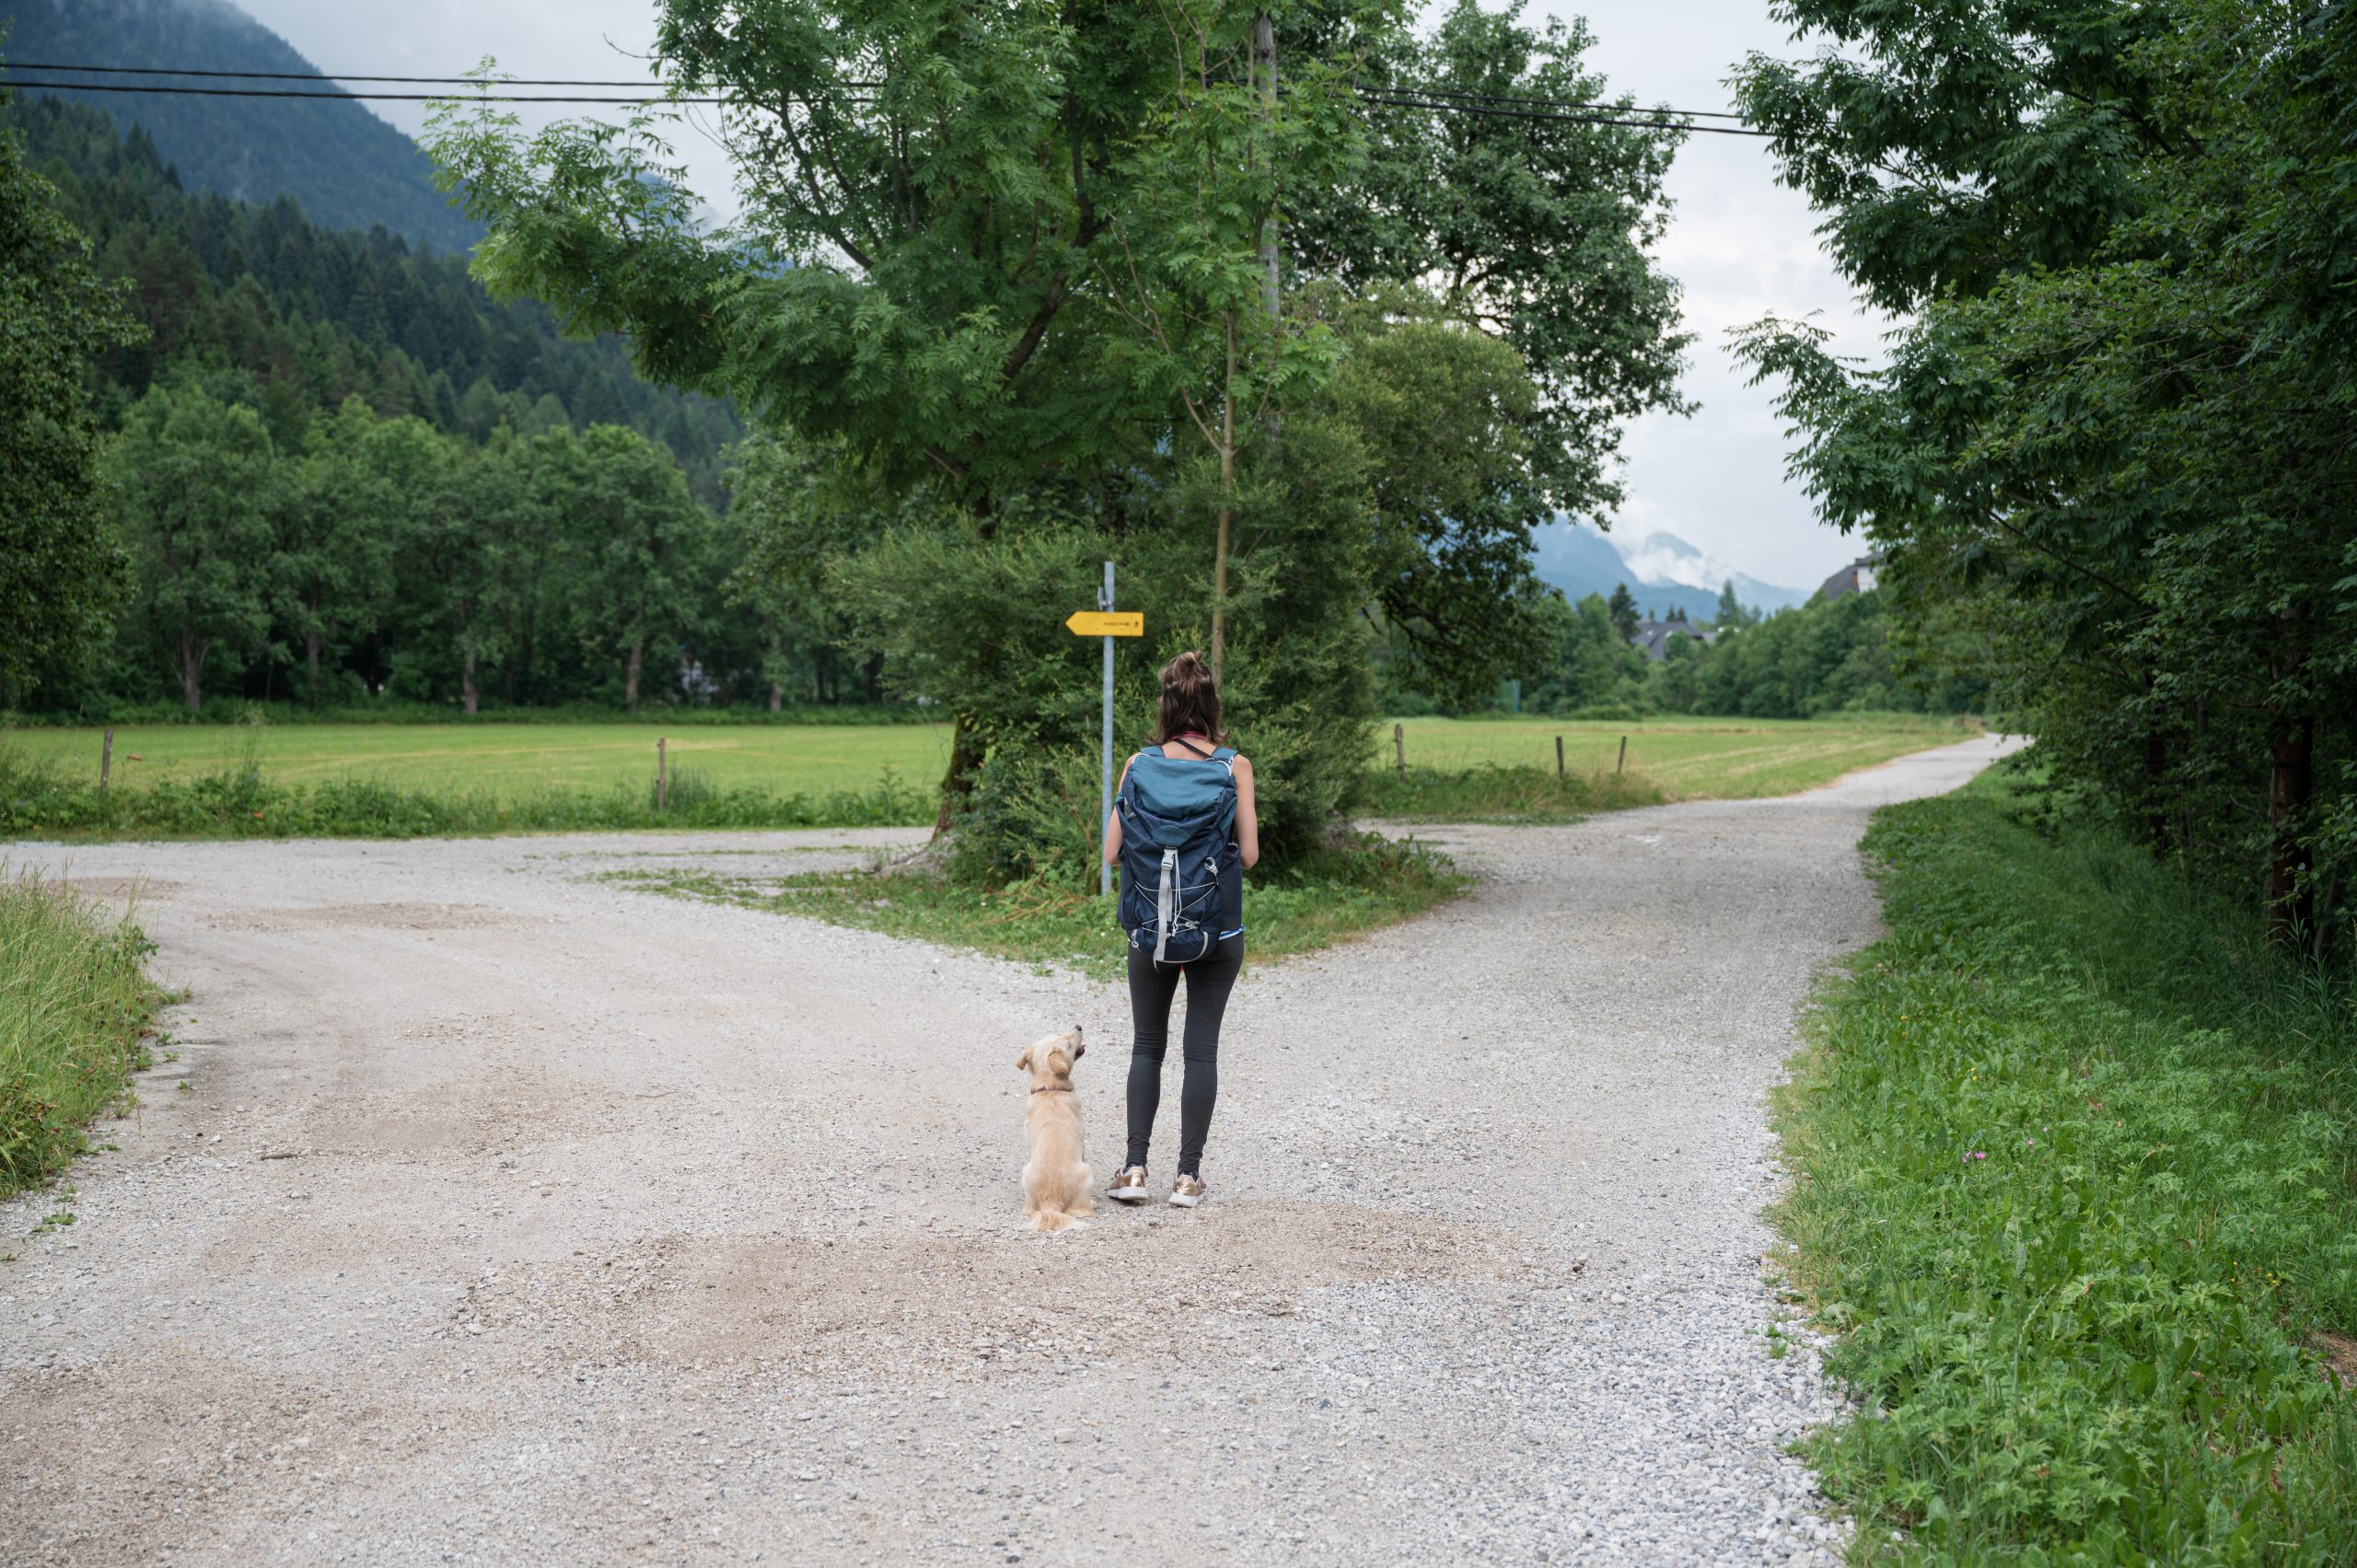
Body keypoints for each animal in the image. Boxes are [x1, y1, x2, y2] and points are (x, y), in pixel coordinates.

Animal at [1023, 1028, 1093, 1235]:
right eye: (1068, 1042)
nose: (1078, 1026)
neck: (1050, 1088)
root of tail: (1051, 1200)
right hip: (1088, 1173)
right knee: (1080, 1210)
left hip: (1025, 1174)